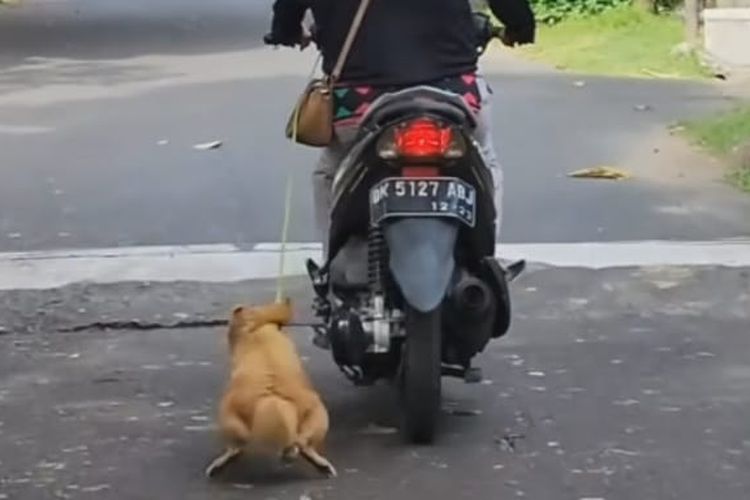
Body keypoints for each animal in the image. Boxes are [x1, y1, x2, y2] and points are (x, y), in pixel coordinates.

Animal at [204, 298, 336, 478]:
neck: (258, 330)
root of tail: (273, 400)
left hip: (227, 416)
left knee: (238, 443)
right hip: (318, 414)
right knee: (303, 442)